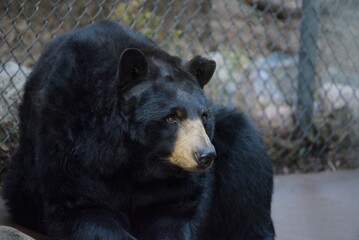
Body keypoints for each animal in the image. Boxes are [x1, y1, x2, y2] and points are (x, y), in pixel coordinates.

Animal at [2, 21, 276, 240]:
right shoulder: (70, 138)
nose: (205, 155)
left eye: (204, 116)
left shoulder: (177, 181)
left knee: (247, 160)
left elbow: (176, 209)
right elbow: (80, 205)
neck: (136, 158)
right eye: (171, 117)